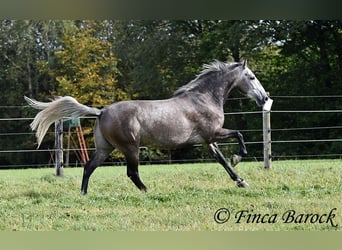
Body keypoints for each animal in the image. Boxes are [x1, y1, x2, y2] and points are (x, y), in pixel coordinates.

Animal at [24, 59, 270, 194]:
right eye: (251, 76)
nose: (264, 98)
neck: (204, 98)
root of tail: (102, 111)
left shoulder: (207, 140)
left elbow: (222, 161)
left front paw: (241, 181)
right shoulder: (213, 133)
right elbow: (239, 135)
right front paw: (239, 159)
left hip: (105, 148)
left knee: (89, 167)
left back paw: (84, 194)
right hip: (131, 148)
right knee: (131, 172)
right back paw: (147, 191)